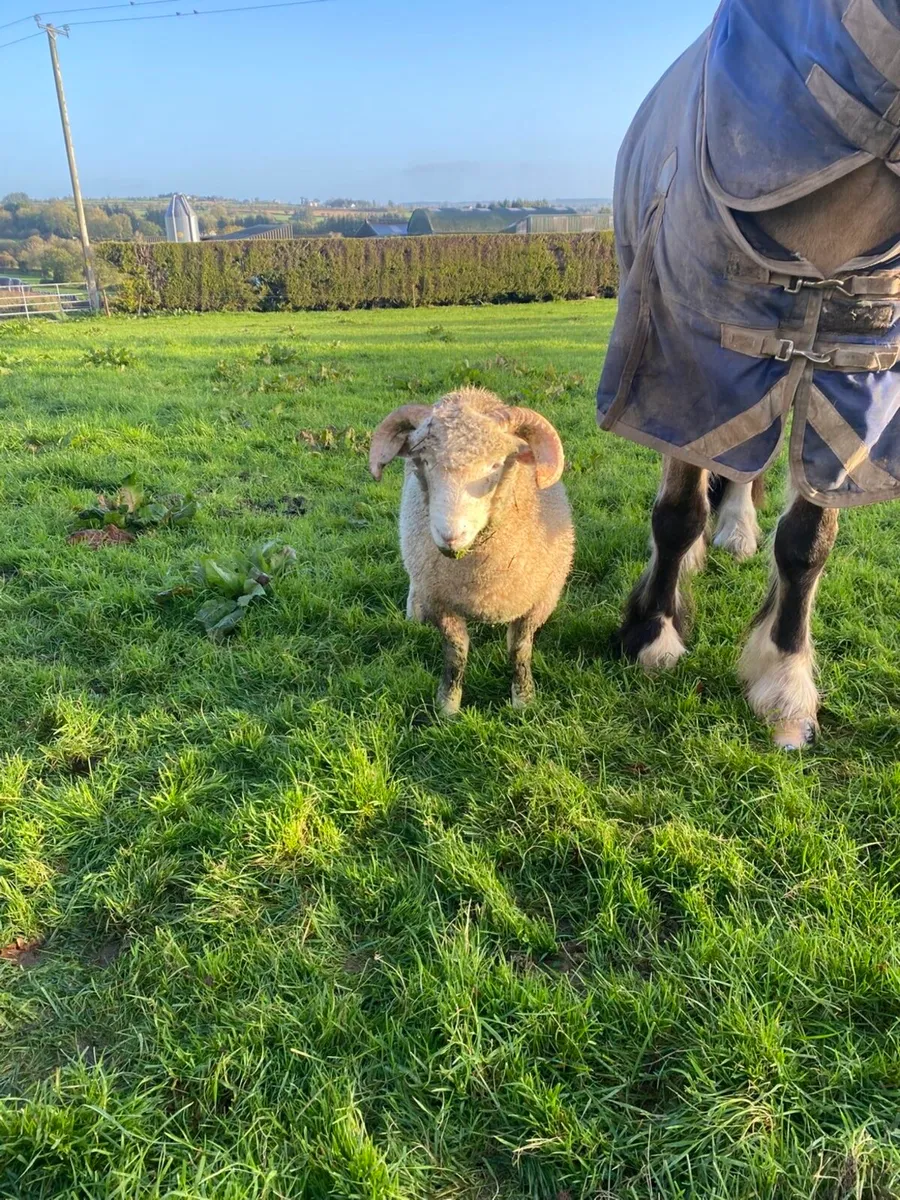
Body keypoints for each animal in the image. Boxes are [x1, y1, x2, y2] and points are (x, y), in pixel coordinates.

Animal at [370, 387, 574, 716]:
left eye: (495, 465)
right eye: (425, 462)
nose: (450, 535)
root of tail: (469, 391)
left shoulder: (537, 602)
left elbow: (519, 651)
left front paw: (523, 701)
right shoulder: (440, 602)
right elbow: (456, 654)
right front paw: (447, 707)